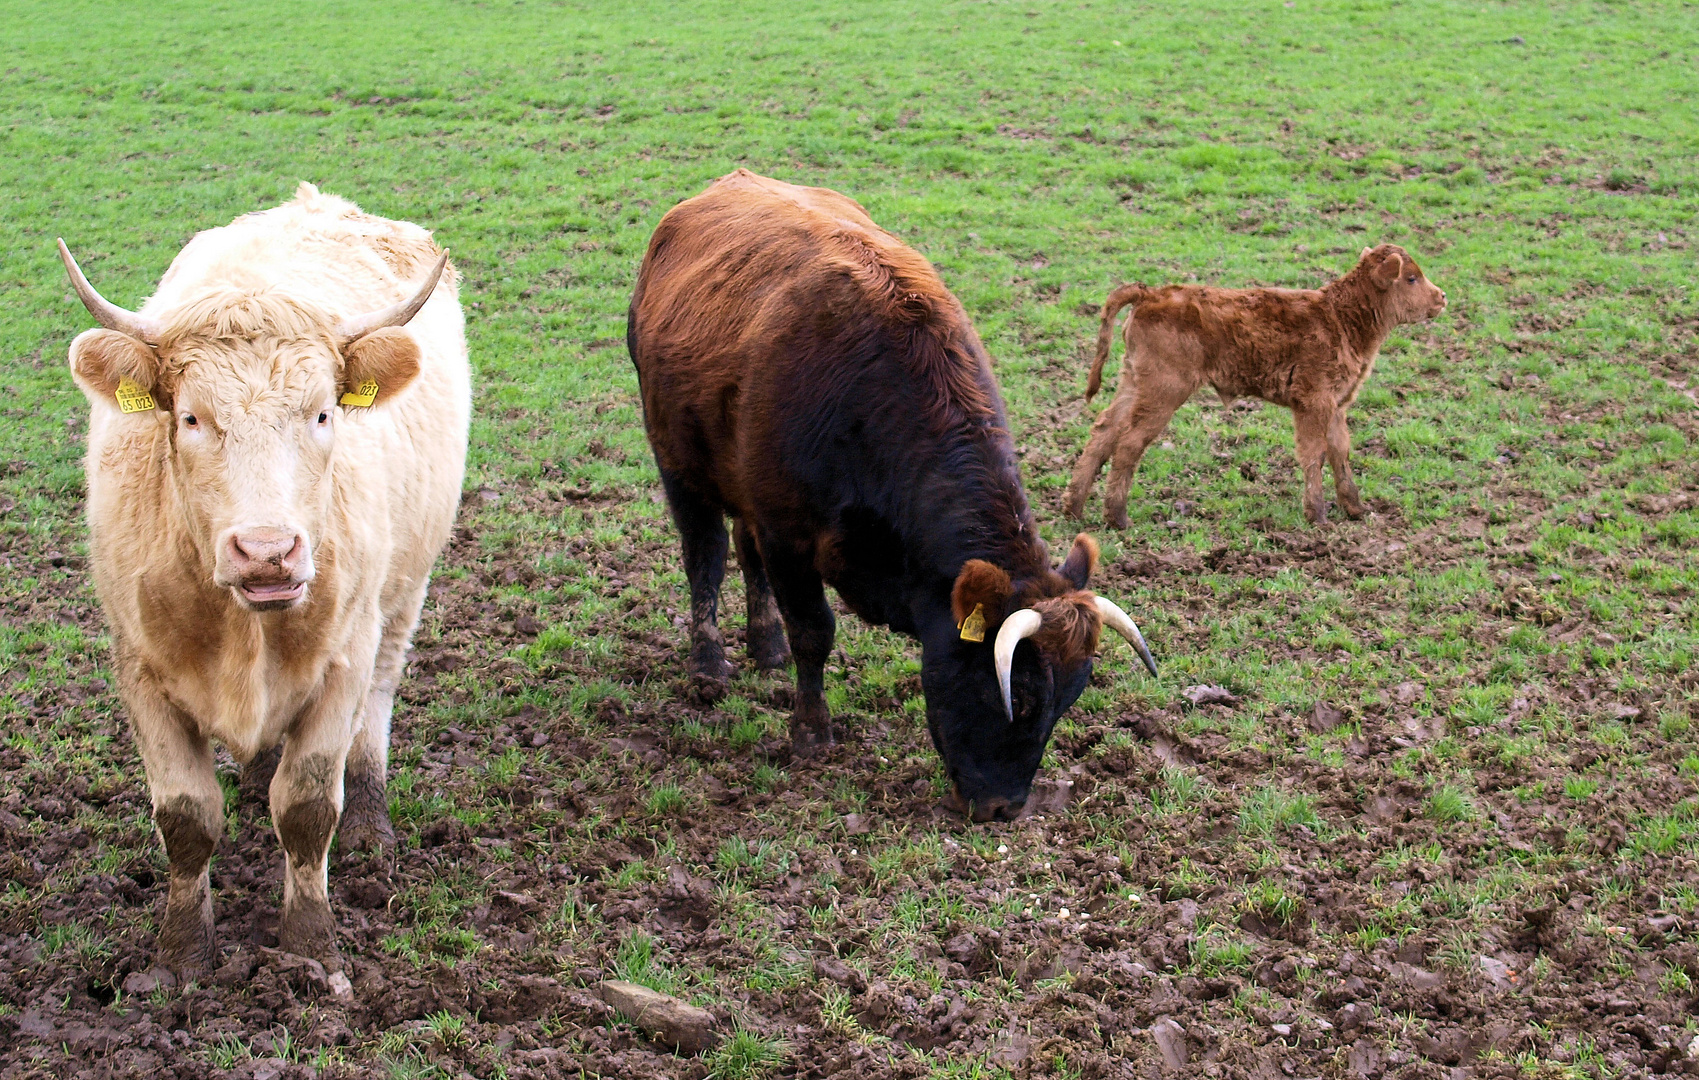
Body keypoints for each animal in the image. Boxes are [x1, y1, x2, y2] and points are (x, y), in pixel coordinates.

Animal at [1060, 246, 1447, 533]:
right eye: (1411, 277)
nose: (1442, 296)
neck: (1340, 317)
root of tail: (1152, 293)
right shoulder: (1313, 401)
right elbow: (1315, 453)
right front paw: (1318, 516)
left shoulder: (1337, 404)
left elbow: (1340, 452)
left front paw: (1356, 509)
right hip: (1163, 391)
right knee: (1128, 443)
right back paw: (1117, 518)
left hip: (1134, 382)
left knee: (1103, 431)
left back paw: (1074, 509)